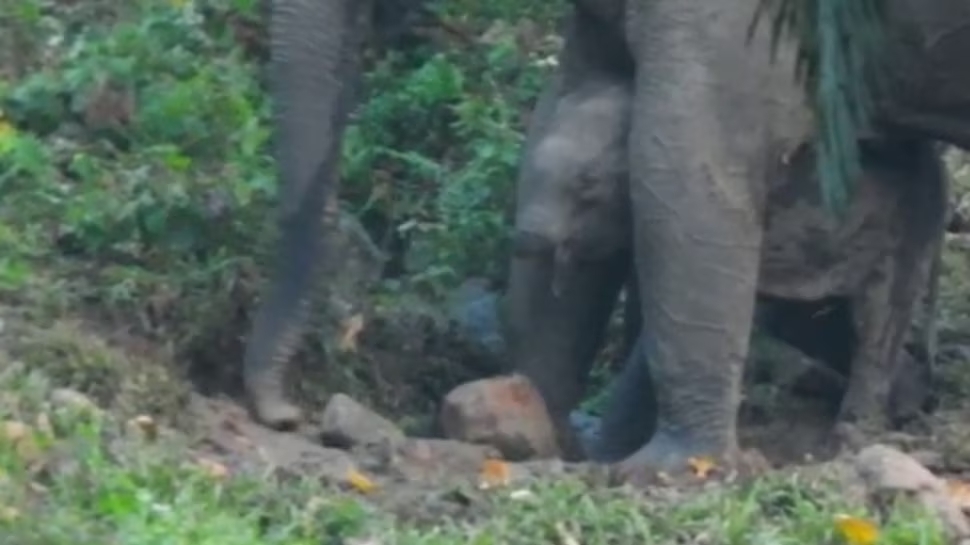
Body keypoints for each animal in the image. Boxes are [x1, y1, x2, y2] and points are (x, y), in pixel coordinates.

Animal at [246, 0, 969, 481]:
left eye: (593, 188)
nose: (284, 416)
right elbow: (569, 100)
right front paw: (529, 428)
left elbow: (684, 171)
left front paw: (669, 468)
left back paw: (856, 431)